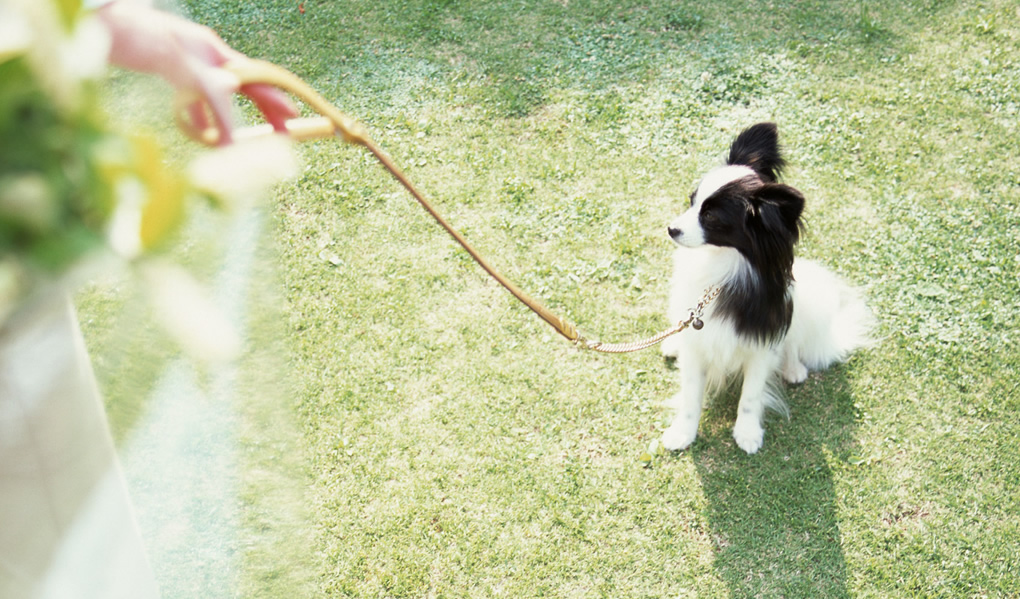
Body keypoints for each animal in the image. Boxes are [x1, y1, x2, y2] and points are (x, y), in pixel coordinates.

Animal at [660, 121, 869, 455]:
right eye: (691, 200)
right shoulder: (697, 343)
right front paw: (683, 432)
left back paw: (793, 368)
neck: (723, 266)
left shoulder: (761, 343)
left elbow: (751, 395)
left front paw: (747, 433)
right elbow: (691, 395)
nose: (671, 229)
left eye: (710, 216)